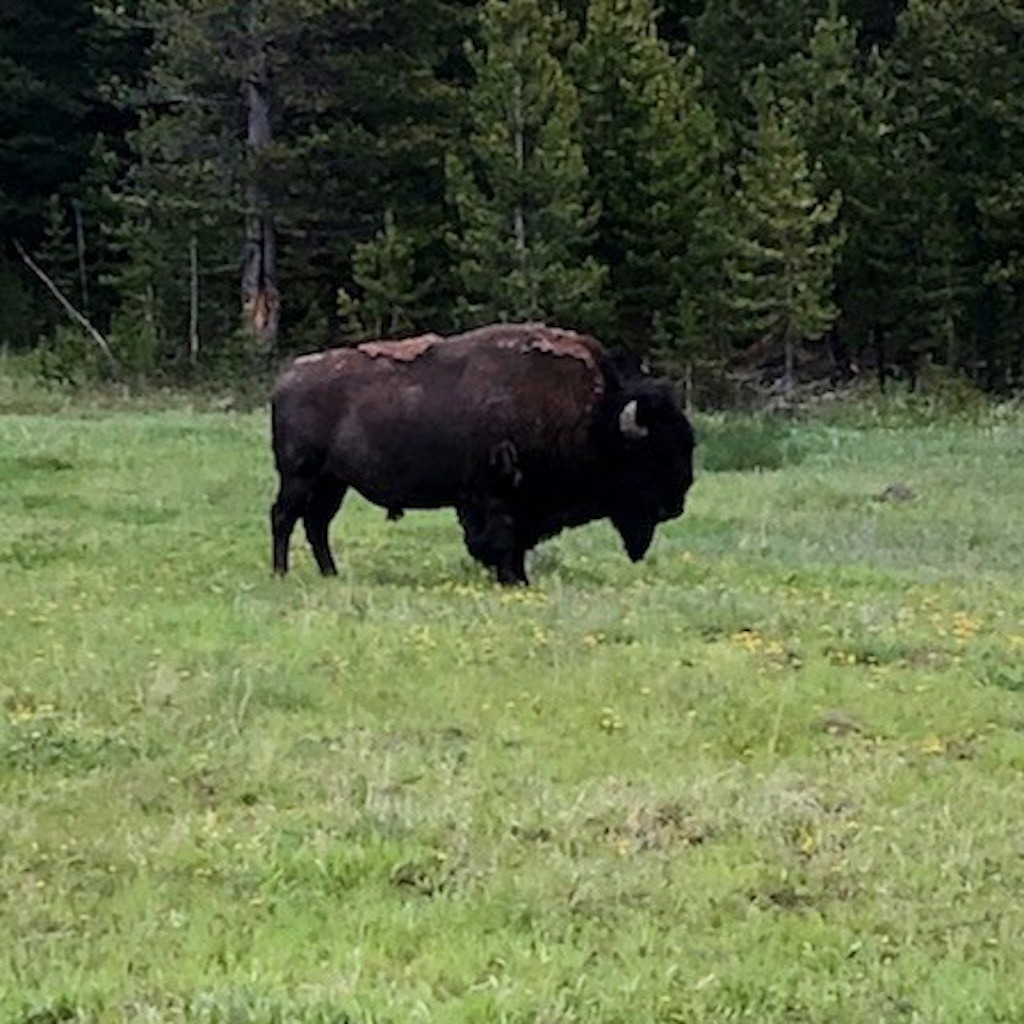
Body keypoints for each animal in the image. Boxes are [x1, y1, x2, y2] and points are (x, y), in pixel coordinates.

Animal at [268, 323, 696, 589]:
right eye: (652, 454)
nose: (675, 505)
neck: (593, 415)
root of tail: (287, 379)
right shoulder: (492, 495)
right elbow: (501, 538)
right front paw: (511, 579)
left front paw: (518, 578)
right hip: (300, 475)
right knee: (284, 517)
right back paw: (281, 574)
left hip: (333, 482)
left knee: (316, 523)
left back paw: (330, 574)